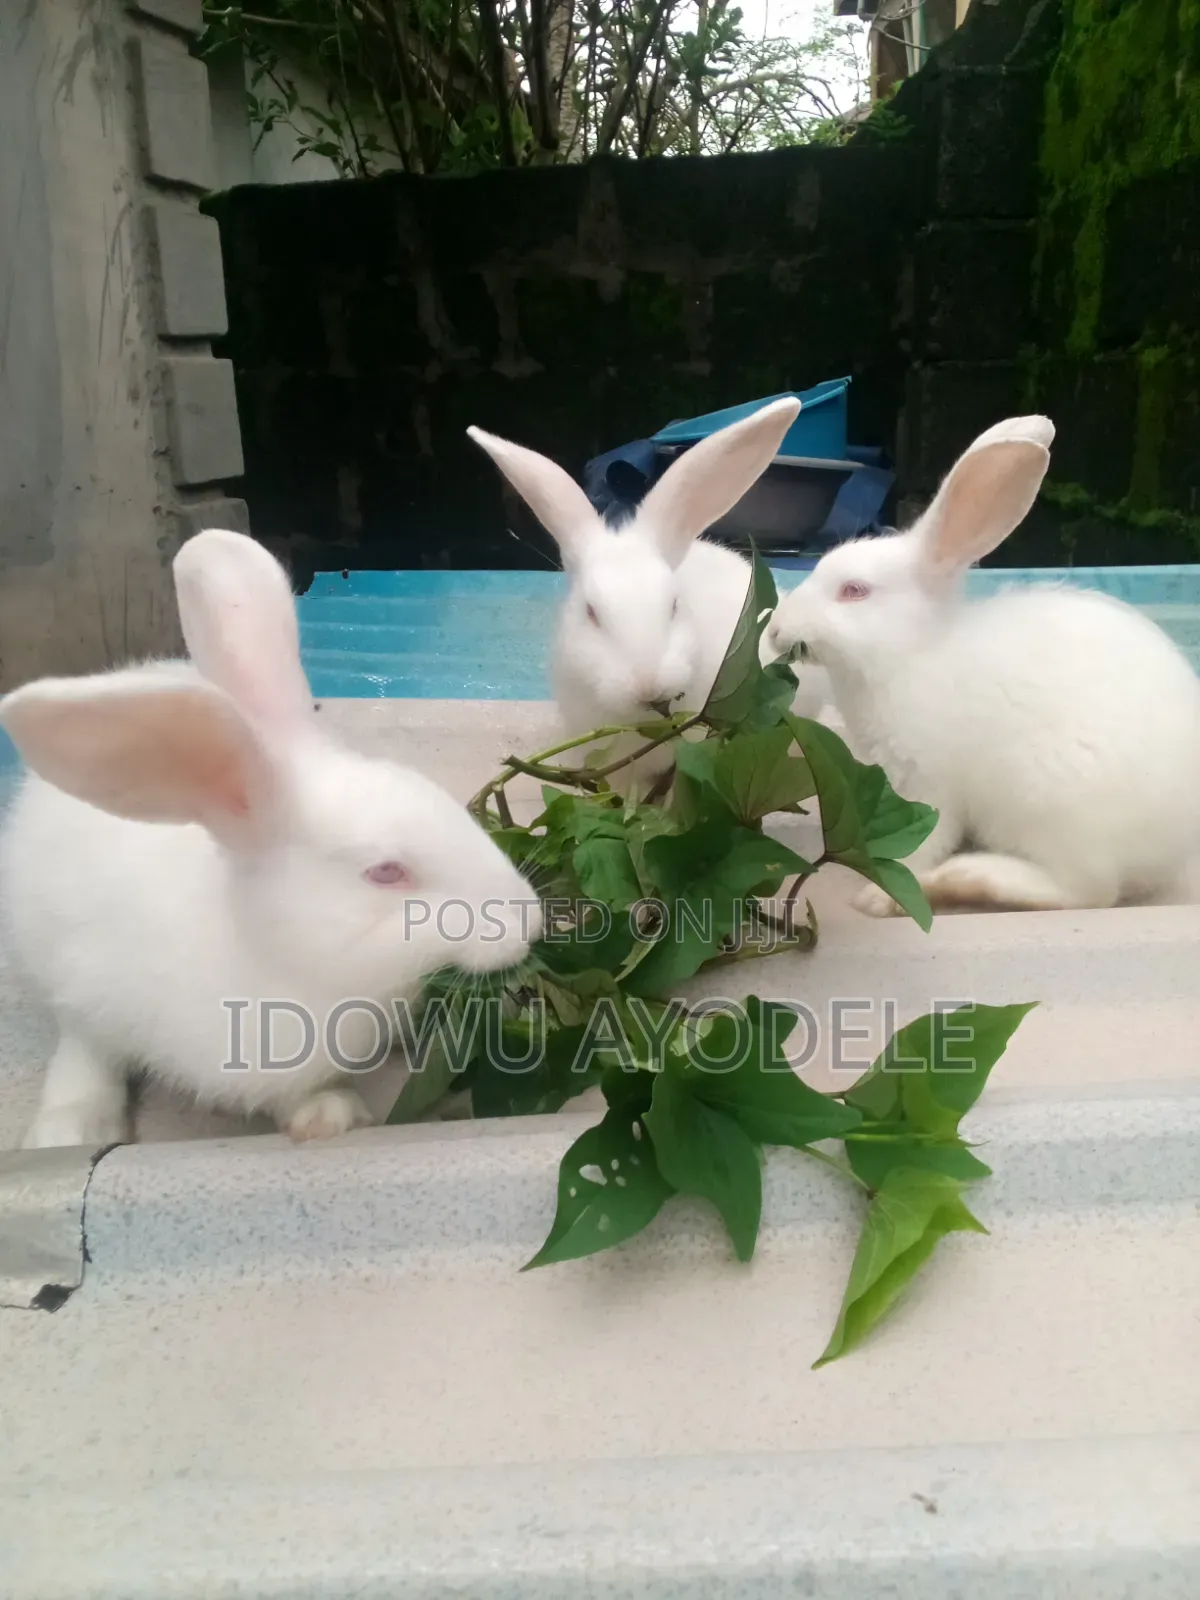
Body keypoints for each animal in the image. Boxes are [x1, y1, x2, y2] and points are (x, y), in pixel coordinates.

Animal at [762, 414, 1200, 917]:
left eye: (854, 590)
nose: (776, 629)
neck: (910, 652)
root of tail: (1182, 851)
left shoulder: (926, 783)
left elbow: (922, 845)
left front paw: (877, 898)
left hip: (1048, 801)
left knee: (1086, 892)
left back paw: (967, 877)